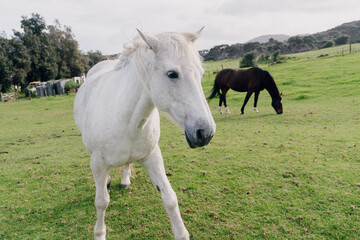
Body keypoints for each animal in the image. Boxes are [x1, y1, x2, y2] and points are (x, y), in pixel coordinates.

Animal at [72, 28, 214, 240]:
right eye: (172, 74)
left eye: (201, 73)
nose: (206, 132)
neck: (125, 119)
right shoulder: (97, 163)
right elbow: (101, 202)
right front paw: (99, 233)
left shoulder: (152, 156)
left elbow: (170, 197)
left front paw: (181, 233)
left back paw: (125, 180)